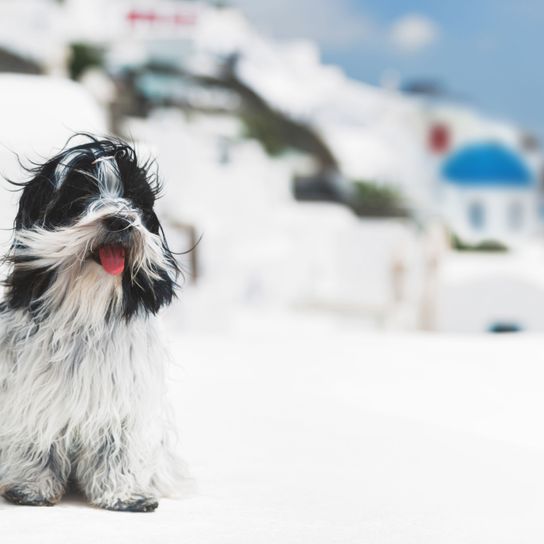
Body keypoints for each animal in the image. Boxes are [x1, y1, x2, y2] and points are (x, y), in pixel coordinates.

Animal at [0, 134, 183, 512]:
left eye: (133, 200)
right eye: (81, 197)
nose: (119, 221)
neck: (85, 311)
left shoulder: (121, 401)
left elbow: (116, 449)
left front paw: (123, 494)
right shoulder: (31, 393)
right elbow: (34, 439)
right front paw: (31, 487)